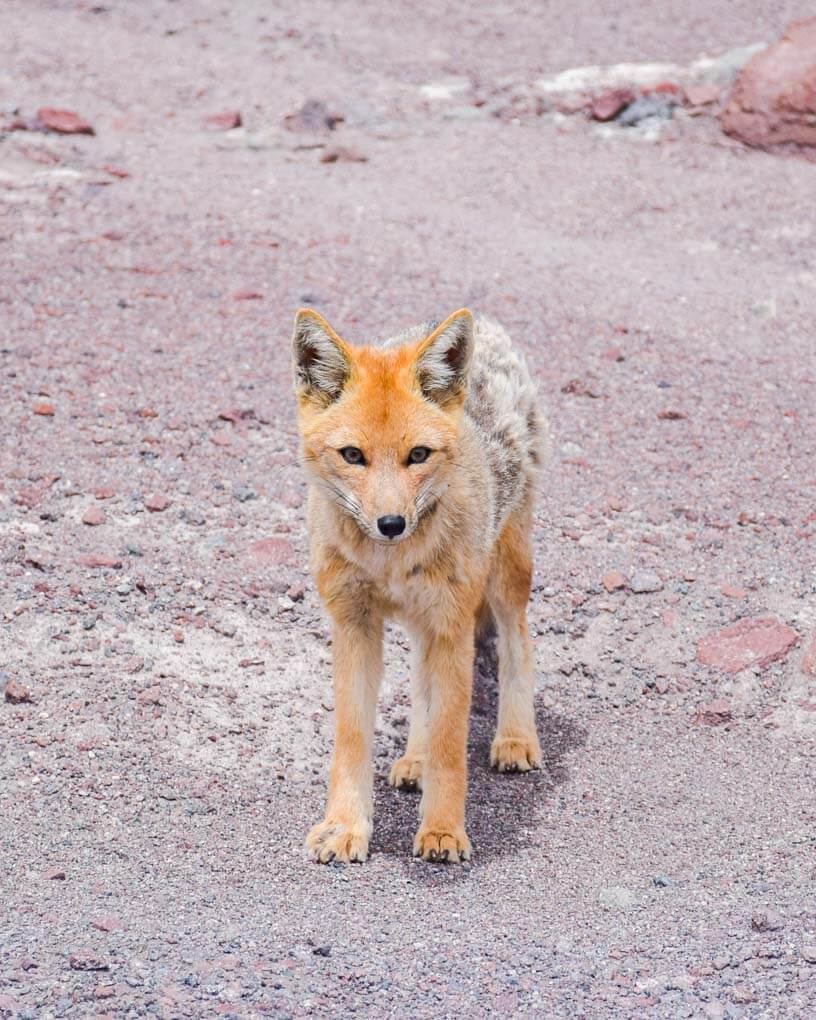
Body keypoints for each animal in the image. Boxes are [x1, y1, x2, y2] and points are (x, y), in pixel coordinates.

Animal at [291, 306, 546, 864]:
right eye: (352, 455)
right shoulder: (354, 626)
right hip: (422, 622)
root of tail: (487, 324)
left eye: (418, 454)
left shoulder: (451, 626)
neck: (390, 563)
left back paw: (516, 737)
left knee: (518, 641)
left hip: (505, 576)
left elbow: (451, 743)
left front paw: (444, 830)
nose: (391, 523)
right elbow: (352, 738)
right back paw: (414, 759)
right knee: (421, 683)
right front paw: (344, 826)